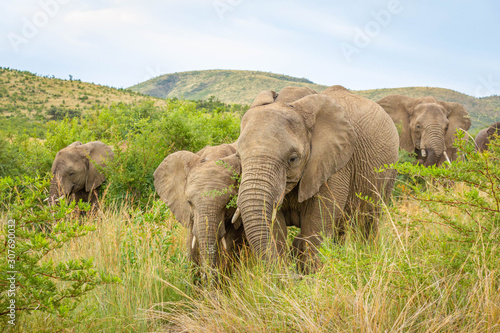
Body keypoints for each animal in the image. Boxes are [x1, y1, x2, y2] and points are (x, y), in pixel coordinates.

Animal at [236, 85, 400, 272]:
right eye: (238, 156)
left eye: (293, 159)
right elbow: (276, 227)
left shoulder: (337, 164)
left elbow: (315, 226)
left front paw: (311, 277)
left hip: (388, 173)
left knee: (369, 222)